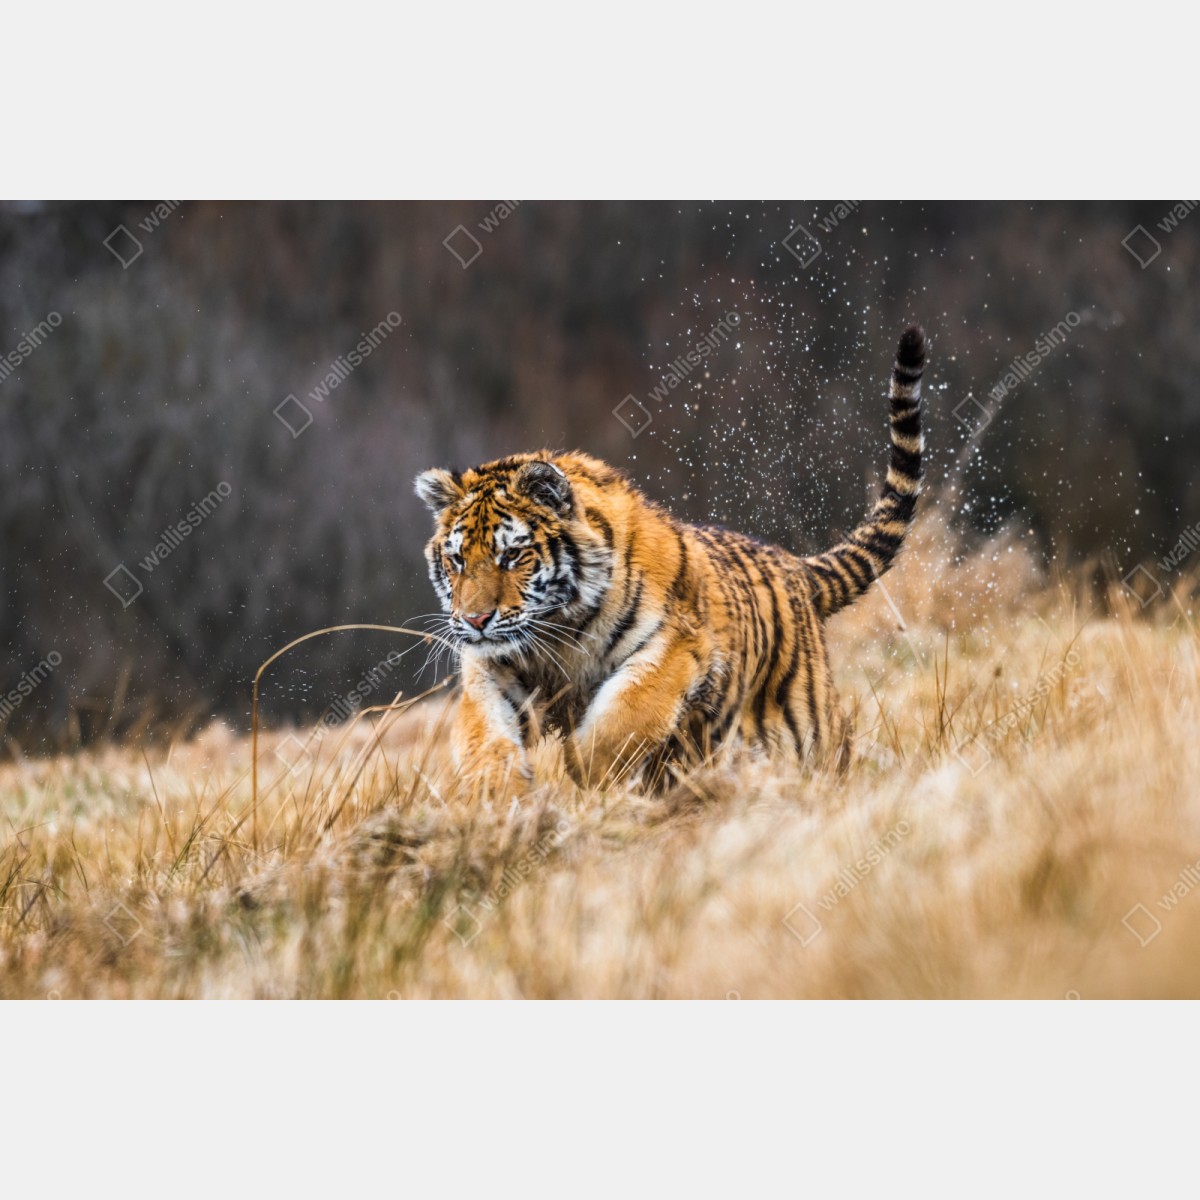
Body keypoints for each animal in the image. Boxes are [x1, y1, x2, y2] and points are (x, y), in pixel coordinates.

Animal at [415, 324, 926, 792]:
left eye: (513, 555)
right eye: (457, 560)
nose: (476, 620)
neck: (558, 635)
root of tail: (796, 567)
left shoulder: (675, 648)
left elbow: (624, 718)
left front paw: (585, 773)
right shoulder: (491, 669)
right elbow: (483, 734)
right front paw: (498, 796)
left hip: (808, 726)